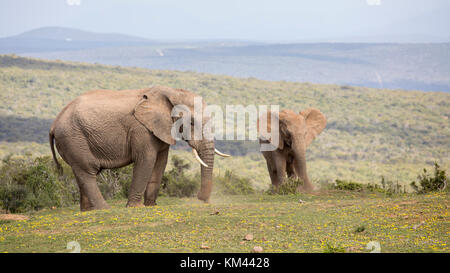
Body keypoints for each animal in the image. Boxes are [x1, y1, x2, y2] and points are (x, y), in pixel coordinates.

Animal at [50, 85, 230, 210]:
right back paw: (104, 209)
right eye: (191, 122)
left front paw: (151, 206)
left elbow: (161, 162)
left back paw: (88, 211)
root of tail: (54, 124)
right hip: (73, 138)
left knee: (81, 172)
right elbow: (147, 160)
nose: (200, 198)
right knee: (87, 171)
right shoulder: (141, 129)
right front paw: (136, 207)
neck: (170, 92)